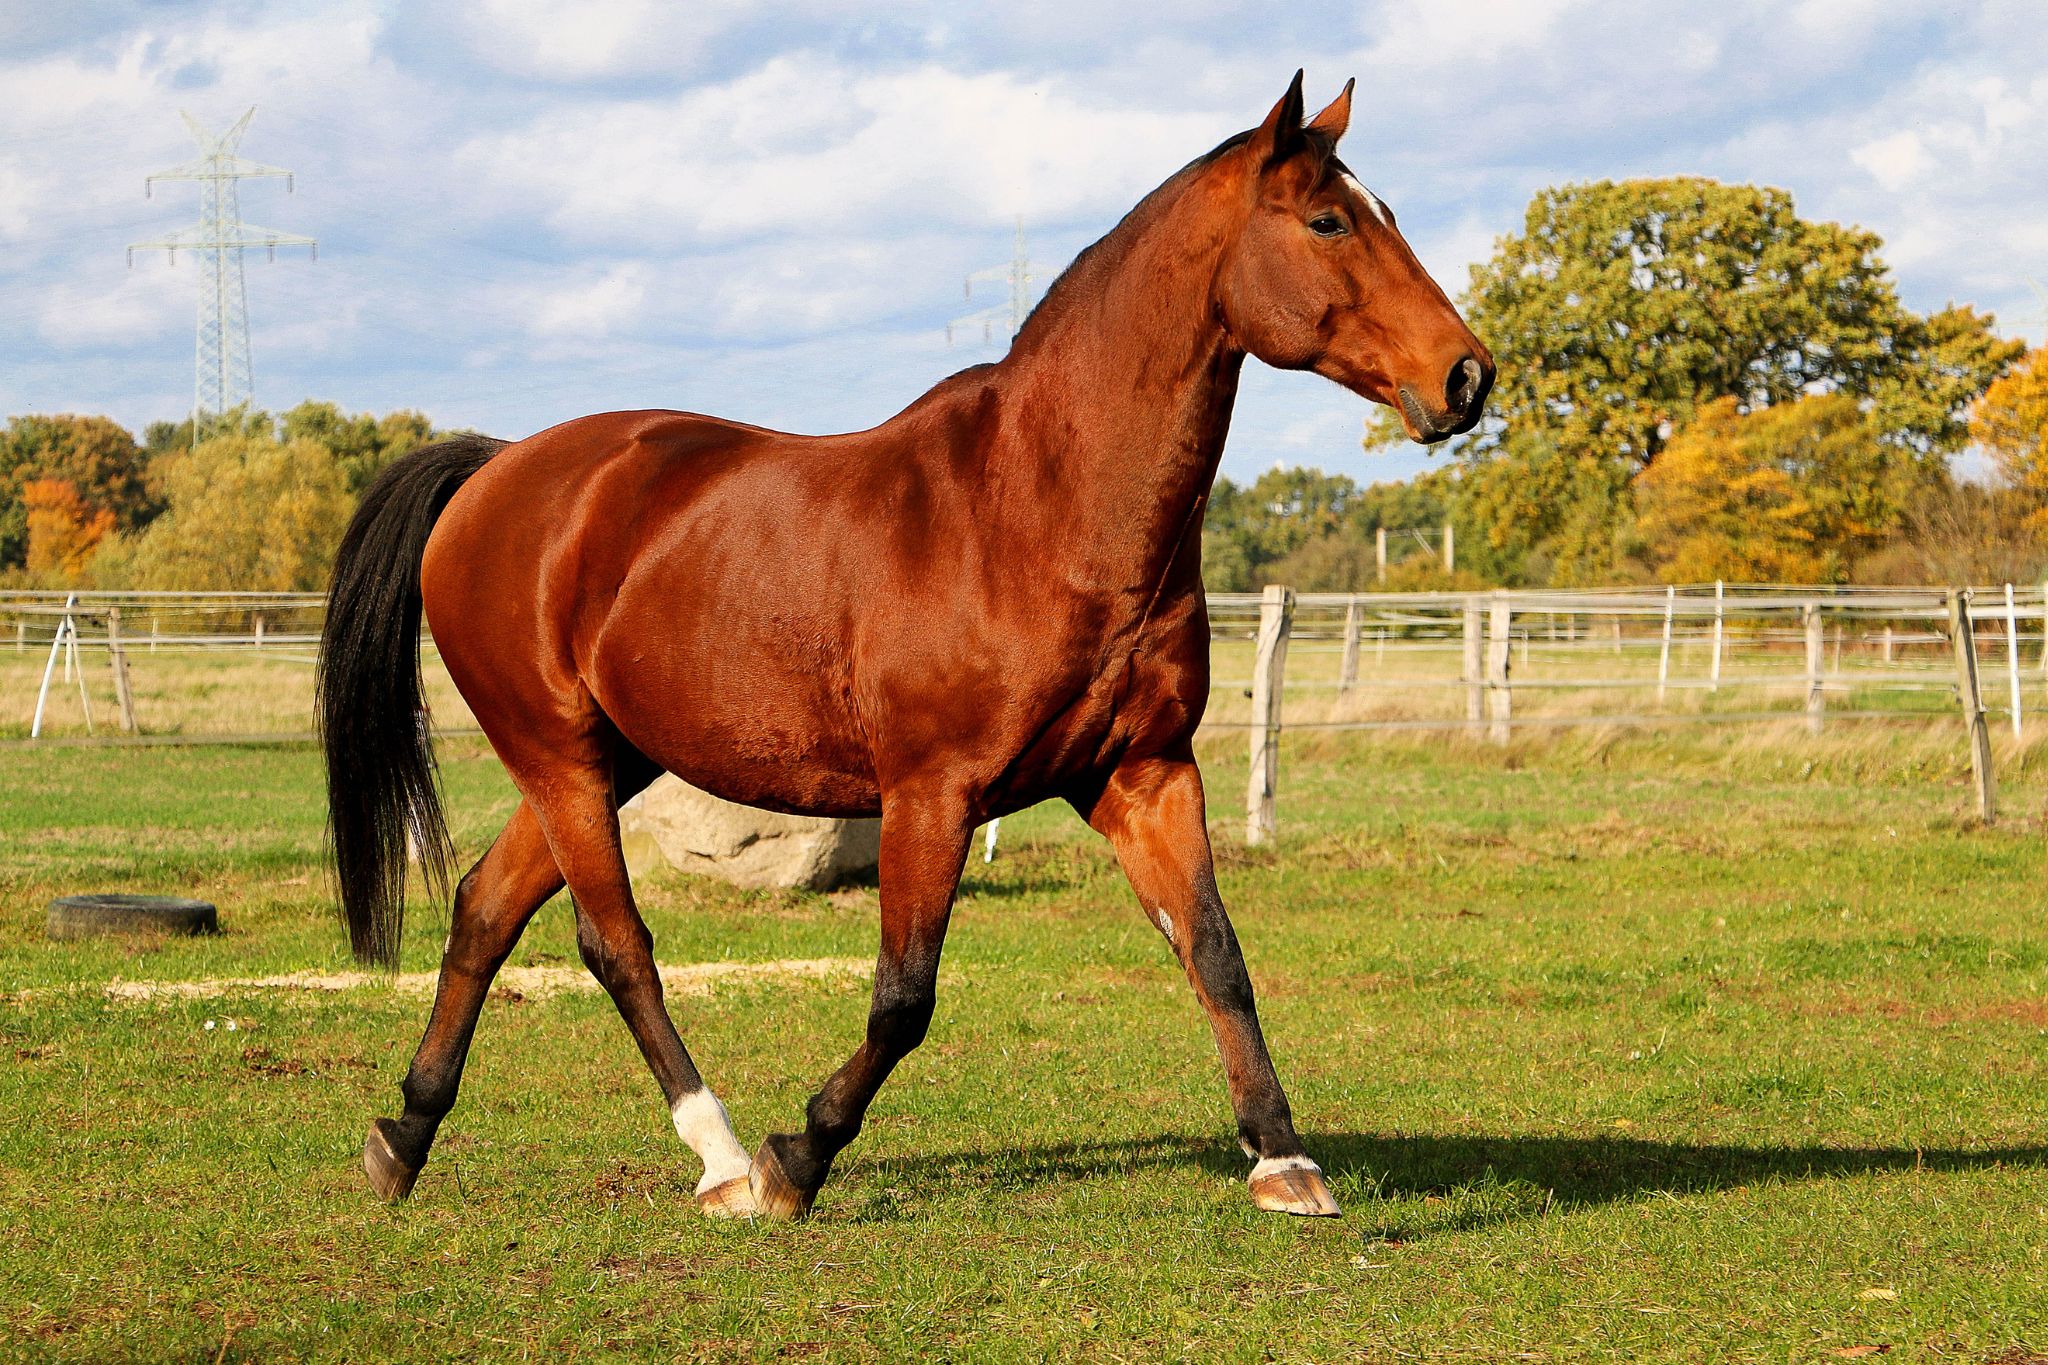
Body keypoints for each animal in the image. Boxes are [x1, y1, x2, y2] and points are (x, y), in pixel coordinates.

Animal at [318, 72, 1492, 1222]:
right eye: (1329, 220)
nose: (1467, 378)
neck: (1037, 507)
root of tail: (496, 467)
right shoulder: (932, 793)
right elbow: (903, 997)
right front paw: (797, 1158)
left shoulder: (1145, 773)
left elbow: (1216, 955)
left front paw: (1282, 1158)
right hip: (559, 756)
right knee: (617, 945)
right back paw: (722, 1159)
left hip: (605, 759)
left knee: (483, 910)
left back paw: (403, 1136)